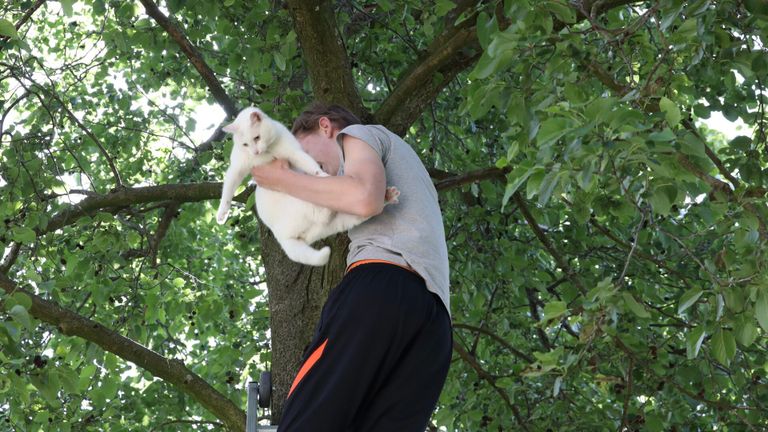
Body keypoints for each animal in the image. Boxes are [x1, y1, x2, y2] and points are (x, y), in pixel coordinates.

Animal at [214, 106, 396, 264]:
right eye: (245, 145)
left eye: (256, 138)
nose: (255, 152)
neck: (268, 152)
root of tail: (283, 238)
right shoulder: (236, 169)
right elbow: (228, 190)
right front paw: (222, 214)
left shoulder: (295, 153)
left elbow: (311, 166)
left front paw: (321, 175)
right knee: (330, 214)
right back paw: (387, 197)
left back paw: (387, 196)